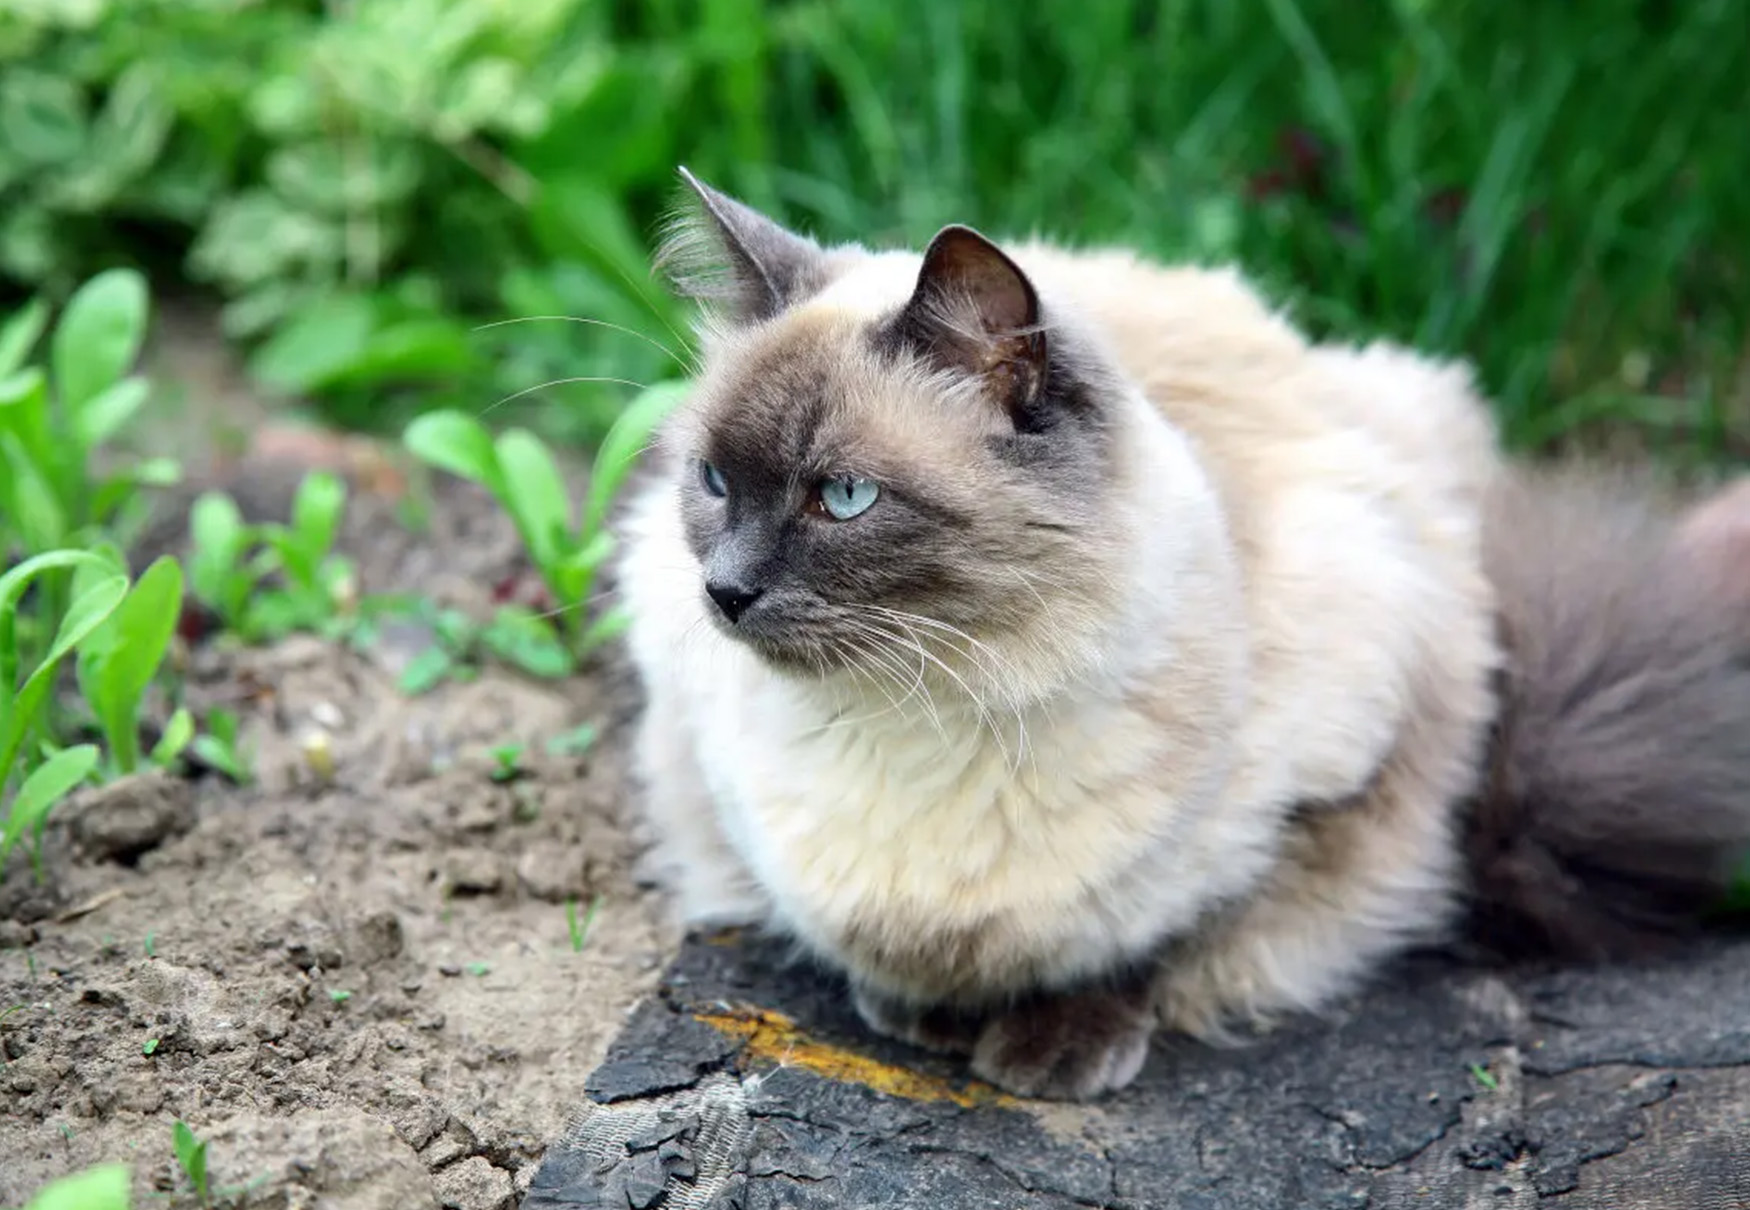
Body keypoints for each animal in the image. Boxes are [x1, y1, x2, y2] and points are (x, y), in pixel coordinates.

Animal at [612, 170, 1750, 1106]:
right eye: (714, 482)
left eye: (842, 498)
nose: (725, 591)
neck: (931, 702)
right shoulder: (722, 781)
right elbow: (861, 939)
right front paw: (919, 1012)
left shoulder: (1315, 790)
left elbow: (1153, 933)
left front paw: (1052, 1047)